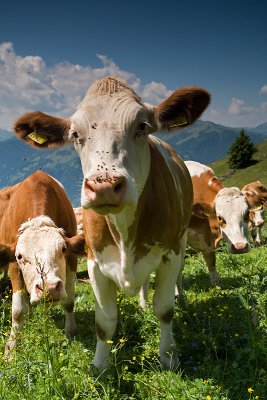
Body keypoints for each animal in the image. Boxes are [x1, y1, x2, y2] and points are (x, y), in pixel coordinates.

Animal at [0, 170, 85, 354]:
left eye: (63, 249)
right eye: (19, 256)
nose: (49, 289)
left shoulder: (72, 258)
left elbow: (68, 301)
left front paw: (71, 333)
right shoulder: (13, 266)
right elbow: (18, 311)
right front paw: (11, 347)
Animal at [12, 74, 211, 368]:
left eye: (142, 126)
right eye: (75, 134)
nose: (103, 186)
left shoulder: (170, 254)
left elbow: (164, 310)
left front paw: (168, 357)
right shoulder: (95, 262)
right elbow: (104, 322)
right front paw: (99, 366)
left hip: (182, 237)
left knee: (177, 279)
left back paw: (180, 297)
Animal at [184, 160, 251, 288]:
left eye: (247, 214)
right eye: (220, 217)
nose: (240, 247)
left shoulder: (205, 240)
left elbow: (211, 262)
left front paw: (216, 285)